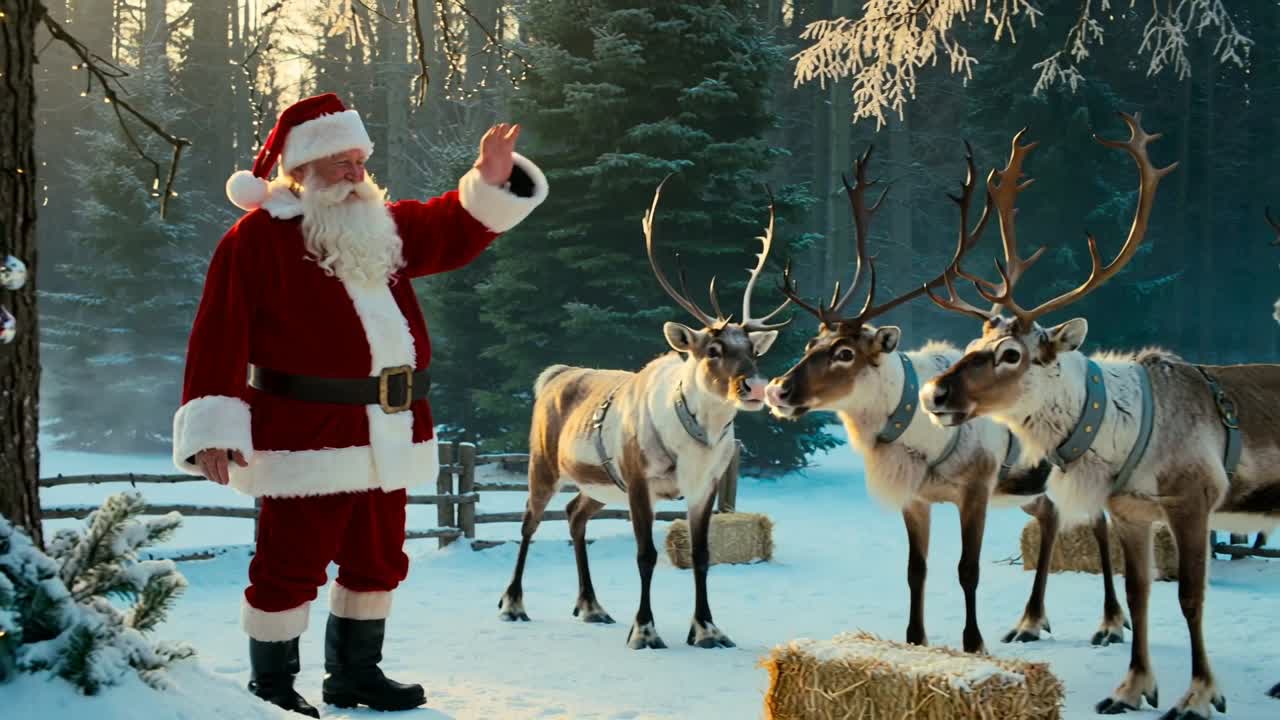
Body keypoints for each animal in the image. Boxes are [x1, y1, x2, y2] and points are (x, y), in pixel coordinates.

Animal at [497, 176, 791, 651]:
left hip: (598, 486)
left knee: (575, 516)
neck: (696, 442)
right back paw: (513, 604)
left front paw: (707, 629)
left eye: (752, 349)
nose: (756, 387)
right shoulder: (639, 482)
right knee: (528, 522)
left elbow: (702, 555)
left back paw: (591, 606)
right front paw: (645, 630)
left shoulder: (703, 487)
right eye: (713, 349)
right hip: (543, 464)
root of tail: (553, 376)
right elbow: (646, 554)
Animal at [763, 145, 1127, 655]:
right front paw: (915, 640)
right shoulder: (917, 498)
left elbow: (966, 569)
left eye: (844, 352)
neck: (921, 438)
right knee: (1051, 517)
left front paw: (973, 642)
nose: (778, 389)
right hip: (1027, 485)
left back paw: (1110, 623)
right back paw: (1030, 620)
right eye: (810, 343)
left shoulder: (976, 488)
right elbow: (915, 570)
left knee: (1097, 525)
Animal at [920, 111, 1280, 718]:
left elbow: (1190, 596)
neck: (1119, 431)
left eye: (1010, 353)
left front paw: (1198, 694)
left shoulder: (1194, 499)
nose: (933, 393)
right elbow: (1140, 593)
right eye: (973, 341)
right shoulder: (1132, 511)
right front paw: (1132, 688)